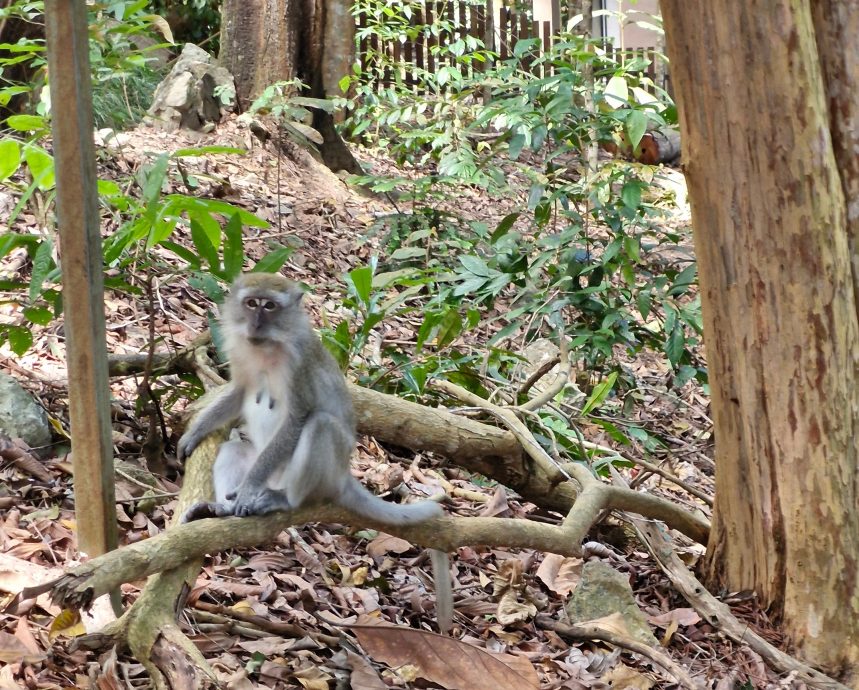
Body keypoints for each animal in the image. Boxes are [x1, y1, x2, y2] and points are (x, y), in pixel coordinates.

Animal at [177, 272, 454, 632]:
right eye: (251, 303)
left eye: (269, 306)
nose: (256, 322)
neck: (268, 348)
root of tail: (343, 476)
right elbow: (239, 392)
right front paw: (195, 433)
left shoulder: (300, 366)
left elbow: (299, 418)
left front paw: (249, 489)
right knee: (236, 448)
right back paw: (220, 509)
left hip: (317, 474)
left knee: (320, 425)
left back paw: (283, 500)